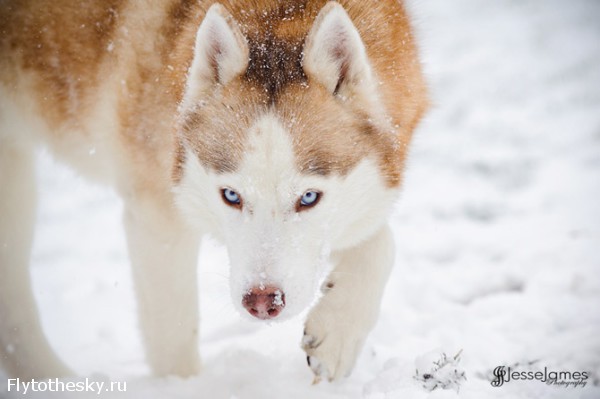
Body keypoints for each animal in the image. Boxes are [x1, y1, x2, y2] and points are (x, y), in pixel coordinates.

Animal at [2, 0, 428, 382]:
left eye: (308, 198)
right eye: (231, 196)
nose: (262, 303)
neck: (283, 13)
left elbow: (382, 244)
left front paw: (337, 335)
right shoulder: (157, 216)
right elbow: (173, 337)